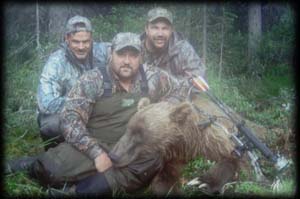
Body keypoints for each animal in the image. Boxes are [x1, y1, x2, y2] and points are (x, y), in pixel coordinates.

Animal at [110, 98, 241, 195]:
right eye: (128, 129)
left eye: (140, 136)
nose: (113, 156)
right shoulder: (174, 157)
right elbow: (165, 179)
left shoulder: (210, 142)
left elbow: (230, 157)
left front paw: (202, 182)